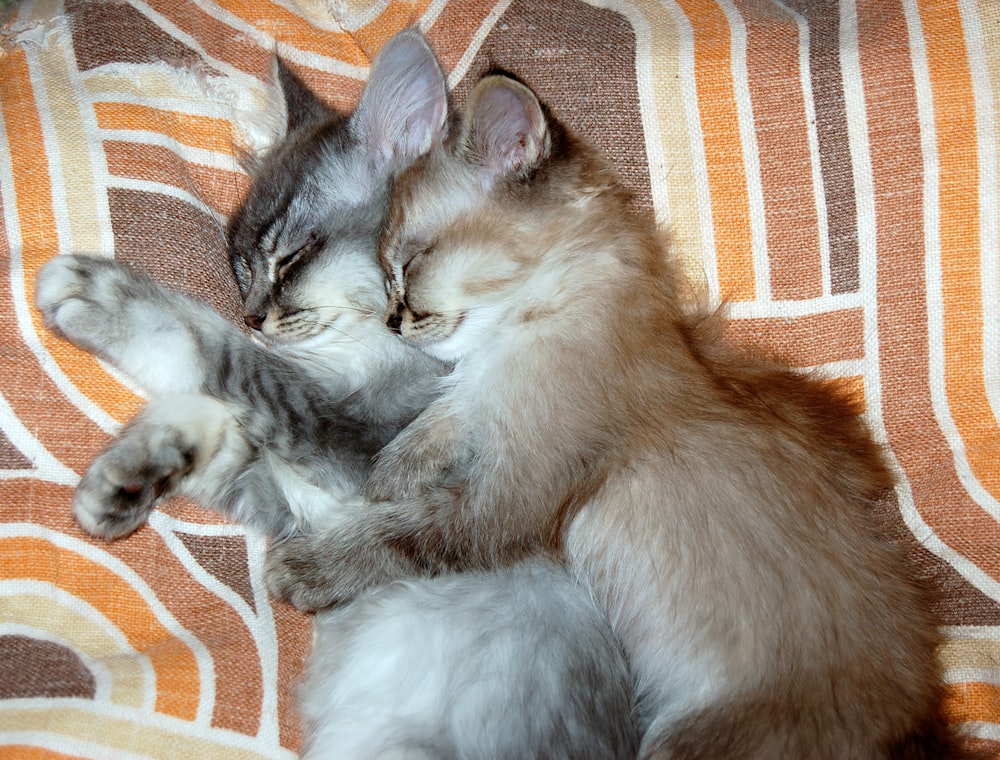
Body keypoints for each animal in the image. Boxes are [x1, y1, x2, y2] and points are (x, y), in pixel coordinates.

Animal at [37, 32, 640, 760]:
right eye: (241, 268)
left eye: (290, 259)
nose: (252, 315)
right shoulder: (296, 500)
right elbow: (217, 423)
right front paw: (125, 480)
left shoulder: (361, 448)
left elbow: (219, 354)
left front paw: (103, 295)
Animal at [270, 74, 972, 756]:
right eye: (386, 274)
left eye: (409, 265)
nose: (393, 321)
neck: (555, 306)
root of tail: (916, 730)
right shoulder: (483, 402)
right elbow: (439, 421)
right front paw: (388, 472)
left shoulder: (505, 499)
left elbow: (401, 533)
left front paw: (310, 566)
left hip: (686, 740)